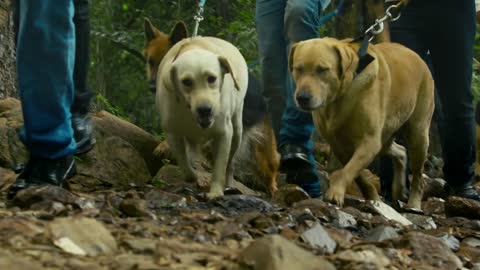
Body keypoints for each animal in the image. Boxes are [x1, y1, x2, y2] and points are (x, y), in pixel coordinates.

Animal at [157, 36, 248, 198]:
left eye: (212, 78)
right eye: (186, 81)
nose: (205, 110)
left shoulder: (224, 133)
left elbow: (219, 166)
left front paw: (216, 192)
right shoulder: (172, 132)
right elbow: (184, 164)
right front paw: (193, 176)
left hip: (237, 131)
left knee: (229, 163)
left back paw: (229, 185)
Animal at [288, 37, 436, 209]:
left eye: (322, 69)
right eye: (298, 69)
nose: (302, 98)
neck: (340, 97)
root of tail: (417, 56)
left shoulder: (369, 142)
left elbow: (347, 171)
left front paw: (335, 193)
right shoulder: (340, 145)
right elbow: (357, 174)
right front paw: (373, 196)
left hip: (418, 135)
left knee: (418, 175)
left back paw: (414, 204)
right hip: (385, 138)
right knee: (400, 151)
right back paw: (398, 189)